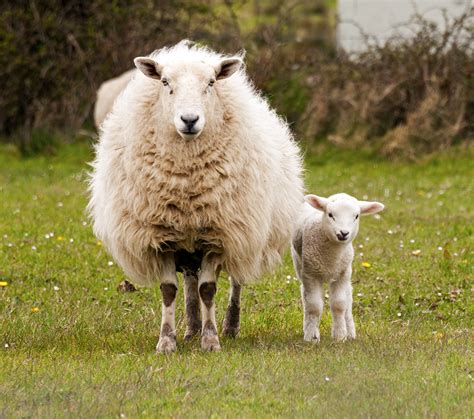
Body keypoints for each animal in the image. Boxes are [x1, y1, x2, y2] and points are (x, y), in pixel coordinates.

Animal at [88, 40, 304, 354]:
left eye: (211, 83)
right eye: (165, 82)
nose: (189, 120)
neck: (185, 180)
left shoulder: (219, 235)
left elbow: (208, 289)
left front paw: (211, 339)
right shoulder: (161, 237)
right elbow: (170, 290)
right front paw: (167, 341)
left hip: (245, 228)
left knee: (235, 281)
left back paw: (229, 326)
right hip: (188, 242)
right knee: (190, 282)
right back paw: (190, 328)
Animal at [290, 195, 384, 342]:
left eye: (356, 216)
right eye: (330, 215)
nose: (343, 233)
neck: (332, 258)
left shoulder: (341, 275)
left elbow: (339, 305)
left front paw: (340, 335)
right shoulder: (310, 274)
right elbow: (314, 306)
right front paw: (312, 336)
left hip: (346, 273)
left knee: (348, 299)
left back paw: (350, 332)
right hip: (300, 265)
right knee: (305, 296)